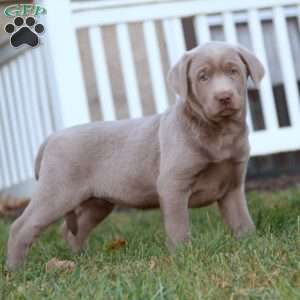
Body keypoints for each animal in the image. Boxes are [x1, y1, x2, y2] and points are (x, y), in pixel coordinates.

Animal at [7, 41, 264, 270]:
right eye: (203, 77)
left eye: (233, 71)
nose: (224, 97)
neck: (221, 133)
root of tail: (50, 138)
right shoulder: (173, 184)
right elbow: (178, 224)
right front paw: (183, 255)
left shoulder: (232, 186)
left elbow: (242, 220)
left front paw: (251, 244)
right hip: (57, 190)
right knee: (21, 226)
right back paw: (16, 270)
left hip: (97, 202)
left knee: (73, 229)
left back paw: (81, 259)